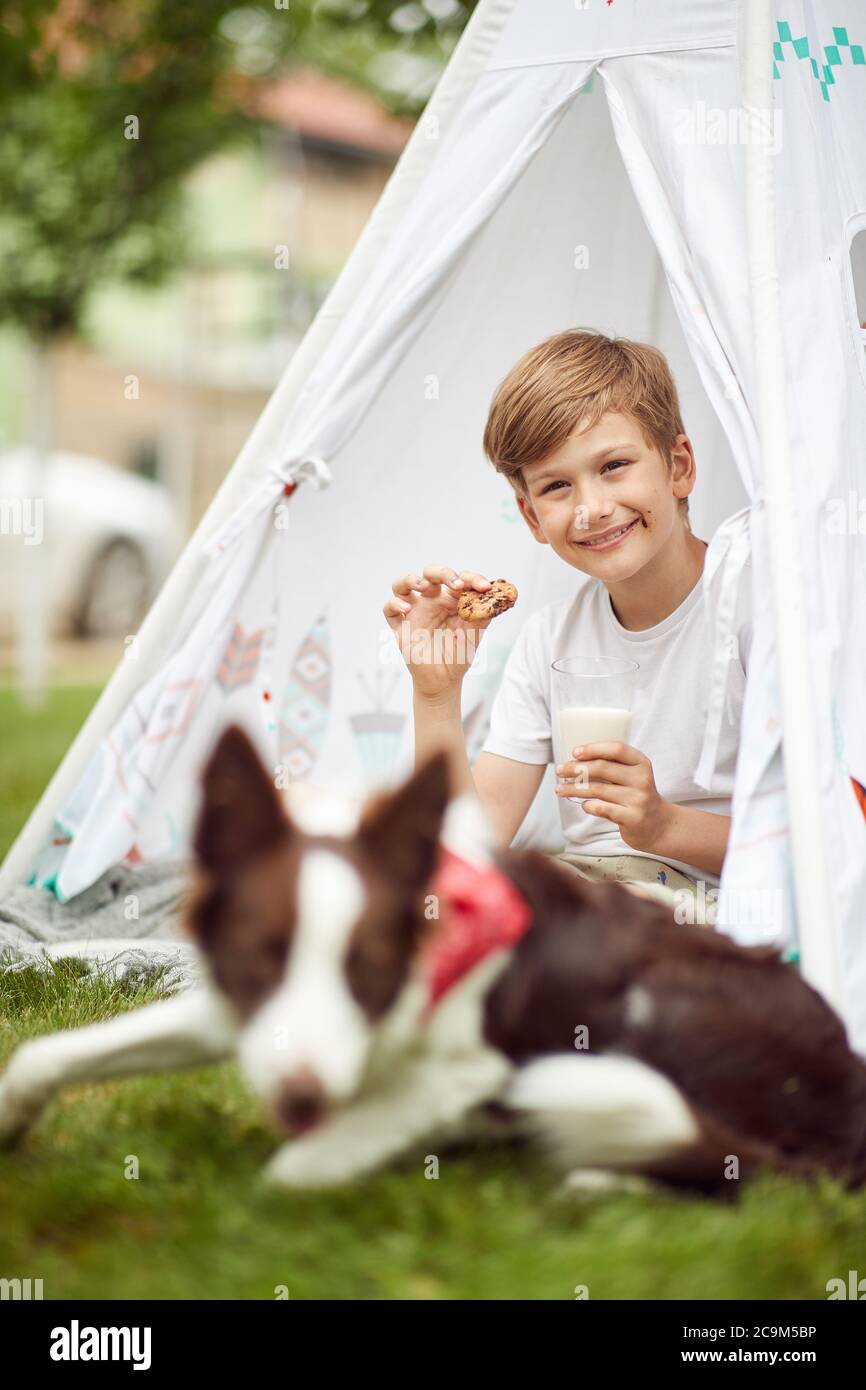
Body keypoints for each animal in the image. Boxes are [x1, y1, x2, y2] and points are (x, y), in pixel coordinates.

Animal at [1, 728, 866, 1195]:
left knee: (765, 1173)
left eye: (368, 972)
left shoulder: (471, 1068)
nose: (304, 1092)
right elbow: (49, 1053)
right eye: (259, 962)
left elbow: (292, 1172)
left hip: (664, 996)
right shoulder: (237, 1013)